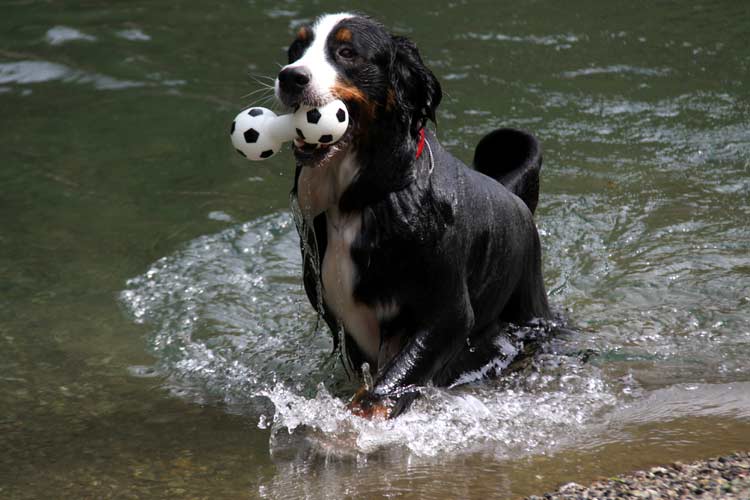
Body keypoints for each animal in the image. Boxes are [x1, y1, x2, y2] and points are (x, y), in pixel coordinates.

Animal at [274, 11, 552, 418]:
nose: (290, 77)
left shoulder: (448, 313)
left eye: (347, 52)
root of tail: (510, 192)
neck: (361, 199)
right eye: (296, 48)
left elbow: (389, 383)